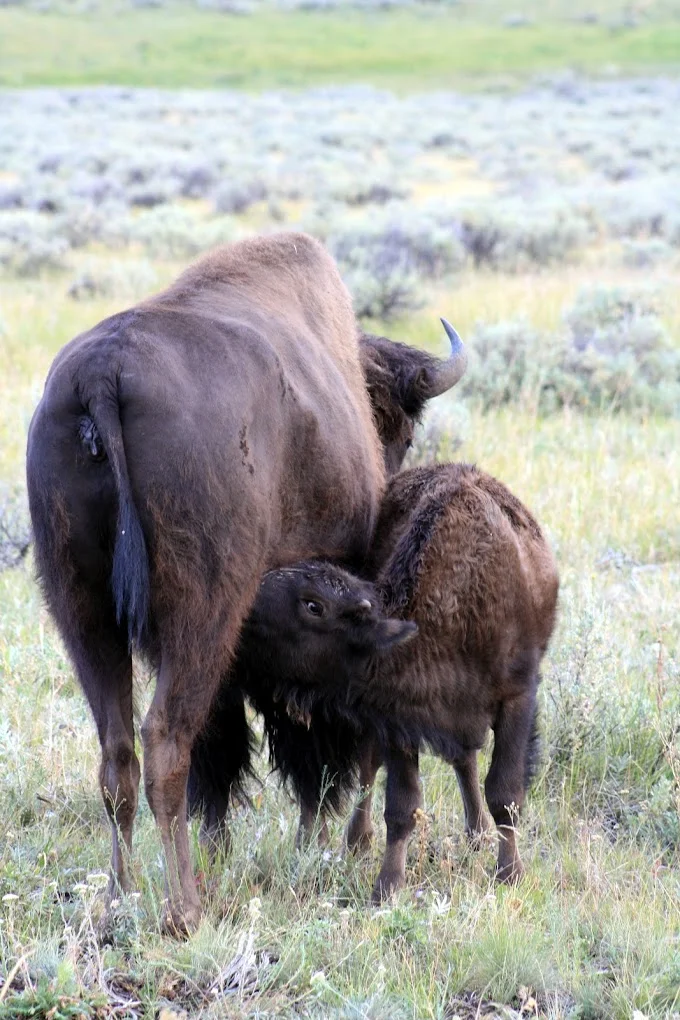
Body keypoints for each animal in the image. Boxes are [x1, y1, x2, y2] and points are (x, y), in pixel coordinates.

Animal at [26, 232, 467, 930]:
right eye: (397, 427)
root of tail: (104, 372)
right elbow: (309, 746)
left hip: (79, 607)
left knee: (119, 753)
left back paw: (120, 898)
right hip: (200, 610)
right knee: (166, 741)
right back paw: (183, 910)